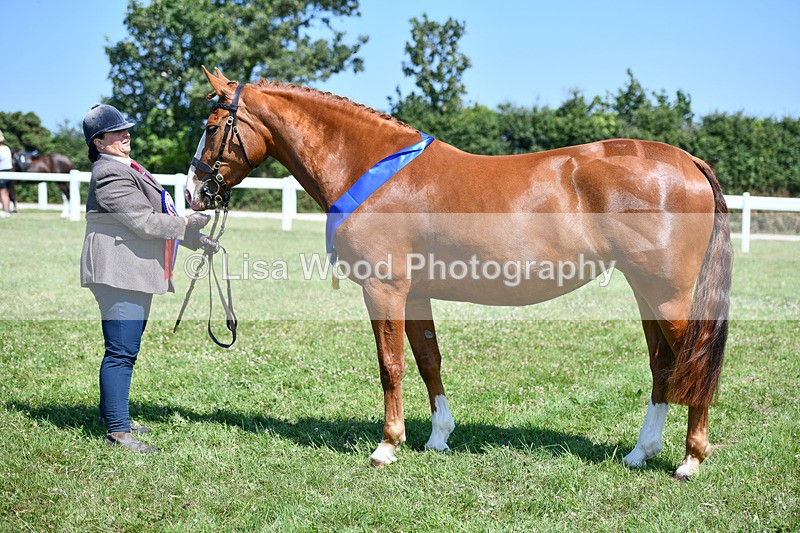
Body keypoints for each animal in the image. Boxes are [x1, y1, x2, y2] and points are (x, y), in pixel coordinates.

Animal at [185, 67, 732, 480]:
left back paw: (690, 460)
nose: (193, 193)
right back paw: (642, 452)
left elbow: (391, 365)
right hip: (647, 293)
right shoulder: (415, 294)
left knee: (693, 363)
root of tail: (689, 161)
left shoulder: (384, 289)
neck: (370, 167)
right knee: (664, 366)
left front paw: (388, 446)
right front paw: (438, 437)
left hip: (668, 296)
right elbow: (429, 361)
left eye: (212, 126)